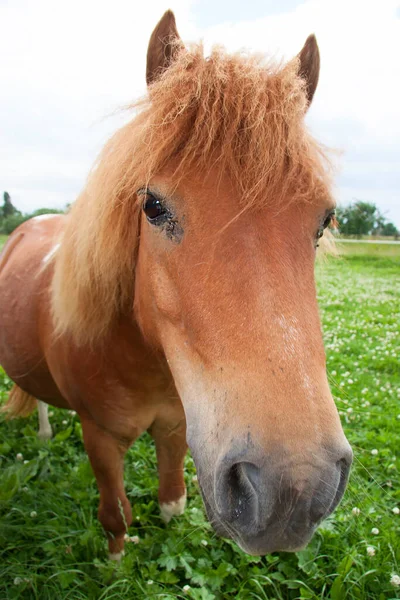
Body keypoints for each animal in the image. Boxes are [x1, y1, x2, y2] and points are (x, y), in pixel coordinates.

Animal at [0, 11, 352, 560]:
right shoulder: (99, 437)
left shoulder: (177, 428)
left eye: (324, 221)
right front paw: (116, 561)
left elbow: (172, 502)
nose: (295, 488)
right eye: (152, 205)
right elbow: (115, 514)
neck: (138, 360)